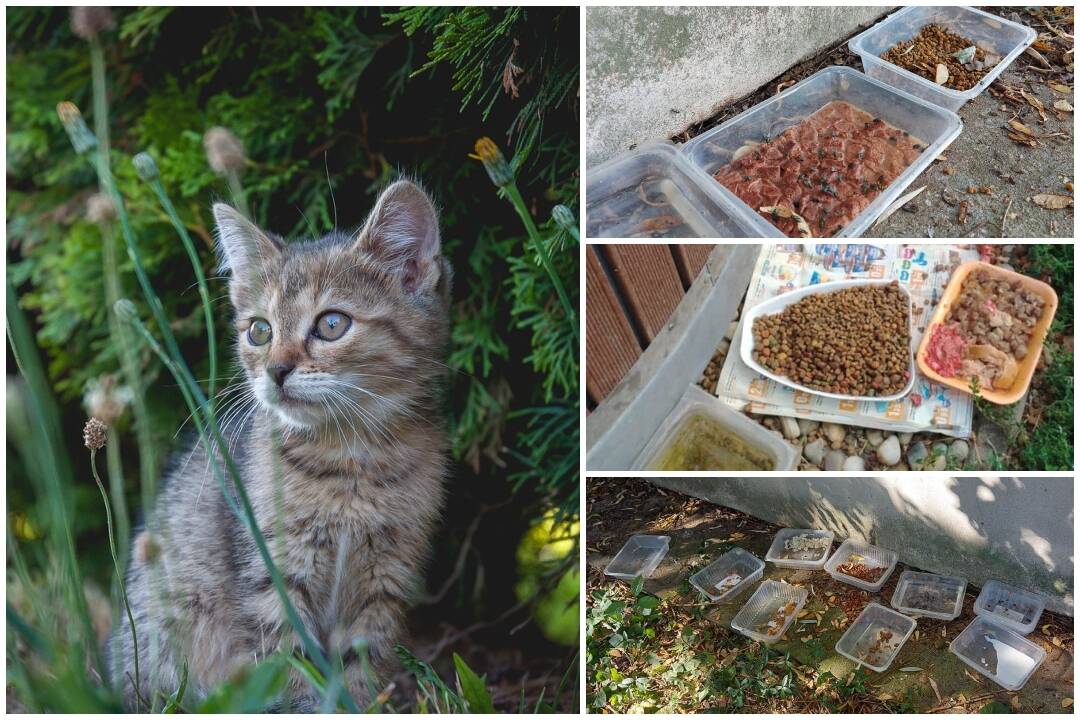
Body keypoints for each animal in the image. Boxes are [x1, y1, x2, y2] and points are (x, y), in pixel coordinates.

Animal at [106, 180, 451, 708]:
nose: (276, 370)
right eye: (259, 331)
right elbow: (290, 668)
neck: (351, 460)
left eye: (331, 324)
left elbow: (362, 668)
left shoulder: (387, 578)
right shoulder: (273, 577)